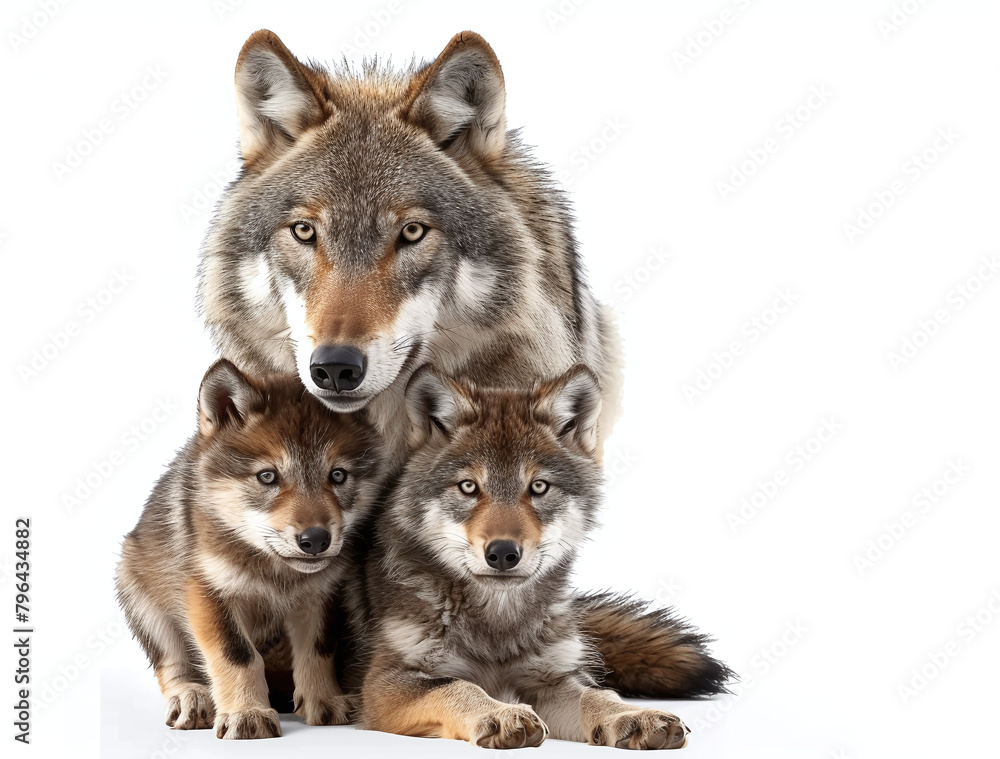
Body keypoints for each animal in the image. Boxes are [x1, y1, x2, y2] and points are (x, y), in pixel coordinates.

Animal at [115, 360, 383, 739]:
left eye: (338, 475)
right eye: (268, 476)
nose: (316, 540)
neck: (274, 571)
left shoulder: (323, 594)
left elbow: (318, 649)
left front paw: (324, 701)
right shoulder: (208, 591)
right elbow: (237, 654)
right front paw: (247, 713)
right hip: (139, 594)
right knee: (173, 664)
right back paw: (191, 698)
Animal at [352, 365, 720, 749]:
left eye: (539, 487)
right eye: (469, 487)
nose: (502, 553)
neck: (497, 626)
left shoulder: (551, 680)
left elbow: (598, 695)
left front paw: (633, 716)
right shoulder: (383, 686)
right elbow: (459, 686)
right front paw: (500, 714)